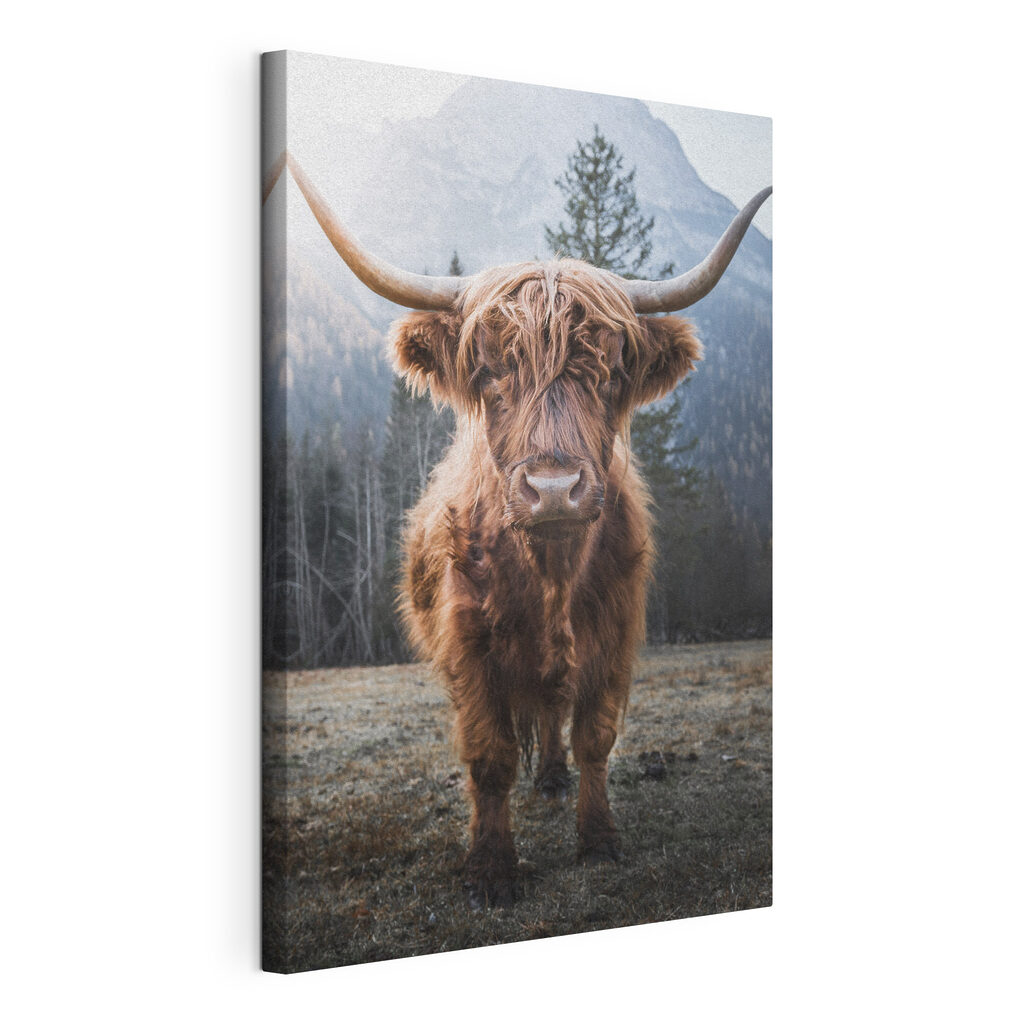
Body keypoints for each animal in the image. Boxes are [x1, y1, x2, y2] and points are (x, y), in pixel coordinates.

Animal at [266, 153, 771, 906]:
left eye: (609, 370)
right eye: (489, 371)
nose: (554, 490)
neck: (550, 574)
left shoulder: (615, 636)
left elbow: (595, 736)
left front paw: (598, 840)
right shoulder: (467, 646)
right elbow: (491, 756)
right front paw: (492, 868)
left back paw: (555, 778)